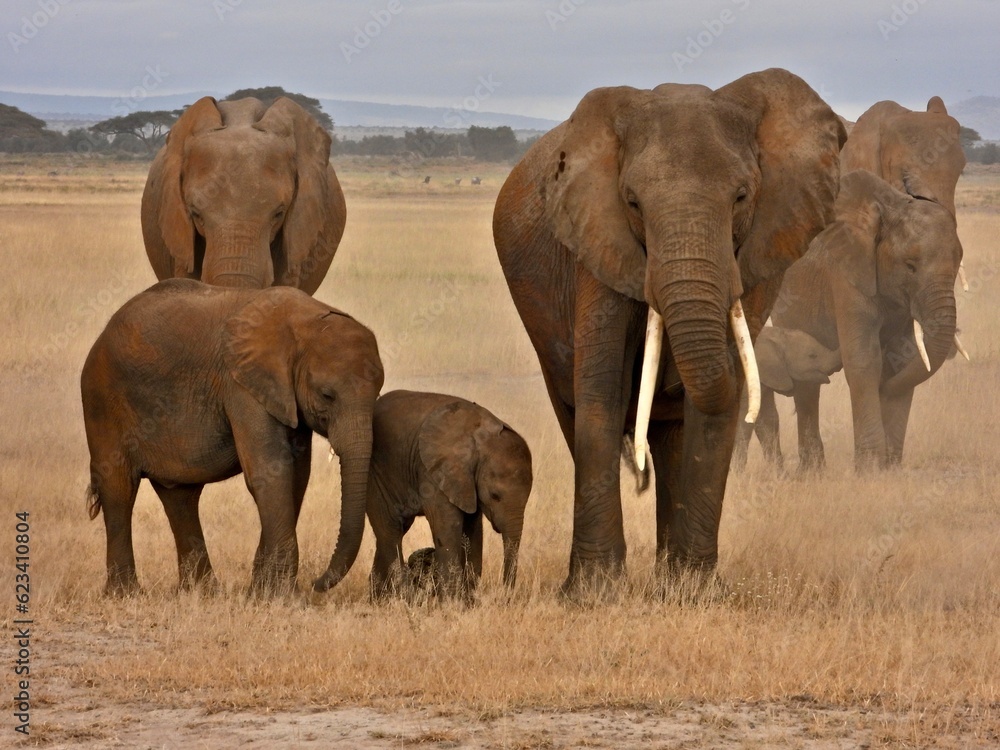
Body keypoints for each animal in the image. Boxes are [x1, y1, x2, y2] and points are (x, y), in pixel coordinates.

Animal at [81, 279, 383, 596]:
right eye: (327, 395)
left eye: (377, 393)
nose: (316, 584)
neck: (307, 321)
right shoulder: (241, 384)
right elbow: (271, 471)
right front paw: (281, 596)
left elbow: (297, 475)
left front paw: (261, 591)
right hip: (102, 399)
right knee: (119, 487)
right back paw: (125, 593)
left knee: (180, 495)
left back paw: (201, 592)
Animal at [364, 390, 533, 601]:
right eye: (494, 496)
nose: (505, 597)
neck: (481, 440)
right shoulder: (435, 472)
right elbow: (447, 525)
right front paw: (452, 602)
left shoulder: (466, 483)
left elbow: (472, 530)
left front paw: (467, 600)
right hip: (375, 473)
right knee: (390, 527)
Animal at [768, 169, 963, 471]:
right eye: (910, 266)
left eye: (958, 265)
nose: (884, 391)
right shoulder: (847, 273)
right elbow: (864, 360)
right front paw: (870, 469)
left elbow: (902, 360)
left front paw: (890, 469)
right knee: (806, 382)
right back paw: (812, 472)